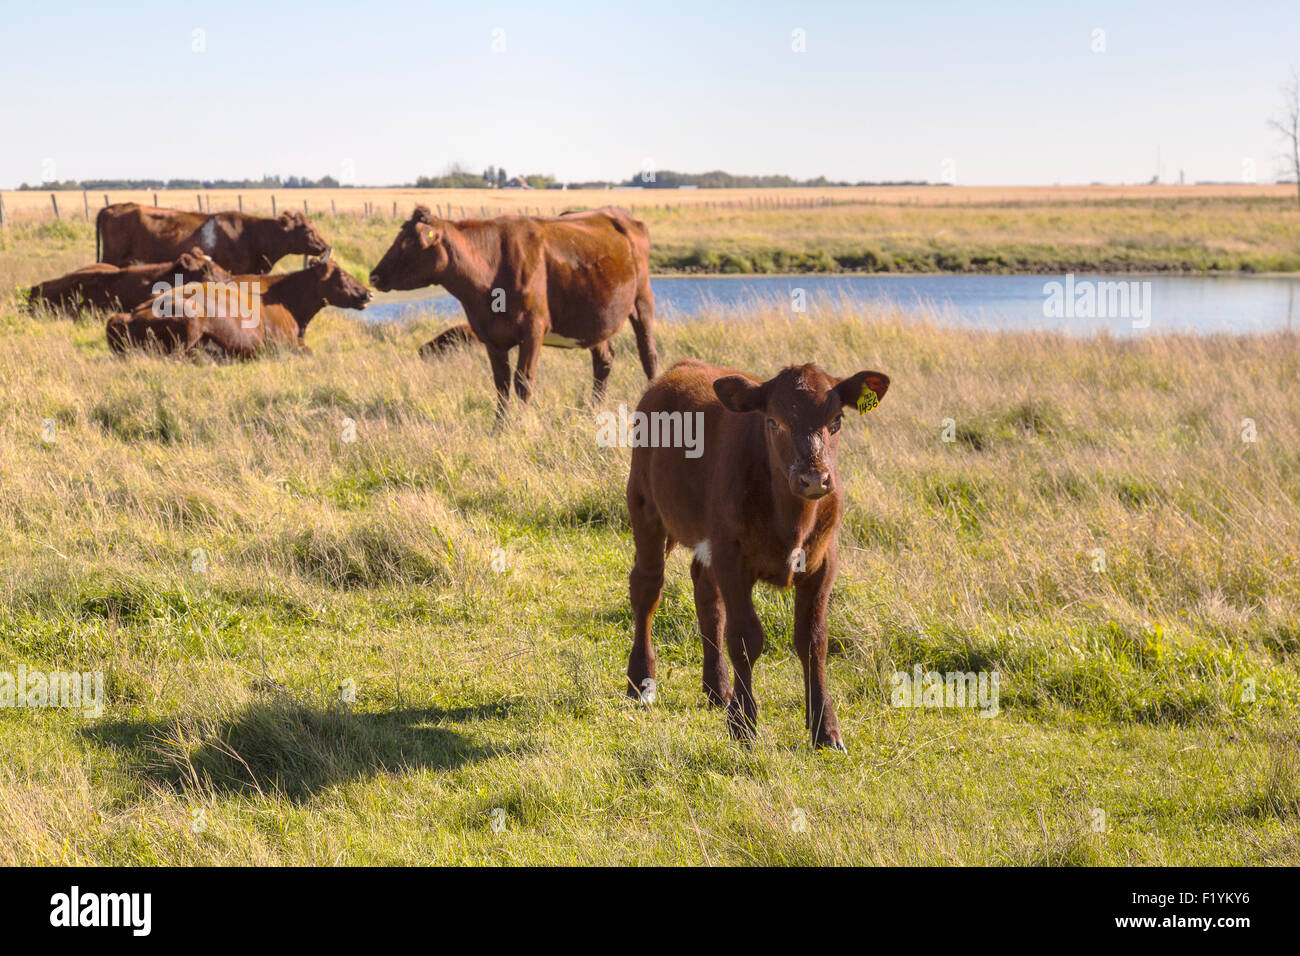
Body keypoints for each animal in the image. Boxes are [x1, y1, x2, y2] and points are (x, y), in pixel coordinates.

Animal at [369, 205, 659, 420]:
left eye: (410, 242)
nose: (374, 275)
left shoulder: (533, 330)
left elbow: (523, 381)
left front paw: (521, 425)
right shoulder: (491, 336)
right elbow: (501, 384)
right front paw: (500, 427)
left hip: (642, 300)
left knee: (648, 355)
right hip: (594, 319)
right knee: (604, 360)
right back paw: (591, 410)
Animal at [623, 358, 890, 750]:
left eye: (836, 420)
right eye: (774, 421)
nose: (814, 478)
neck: (791, 521)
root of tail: (681, 367)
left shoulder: (823, 563)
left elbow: (813, 641)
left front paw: (825, 728)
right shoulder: (733, 561)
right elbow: (745, 639)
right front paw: (743, 723)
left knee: (707, 599)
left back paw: (717, 688)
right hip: (645, 506)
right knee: (647, 587)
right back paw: (642, 680)